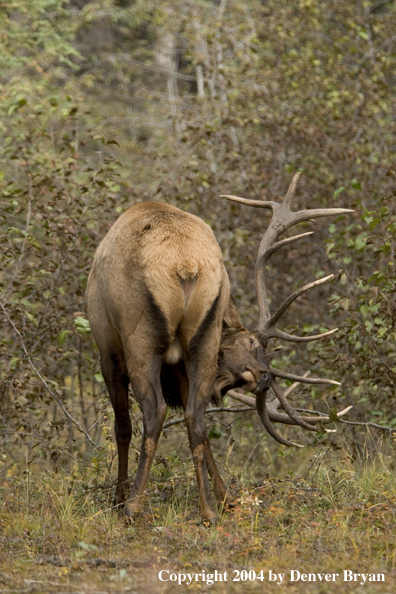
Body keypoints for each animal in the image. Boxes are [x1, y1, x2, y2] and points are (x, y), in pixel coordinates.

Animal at [86, 173, 352, 520]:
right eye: (251, 342)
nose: (264, 376)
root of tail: (185, 265)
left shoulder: (107, 348)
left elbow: (122, 427)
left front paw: (117, 498)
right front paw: (227, 497)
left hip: (138, 336)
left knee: (154, 412)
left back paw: (132, 506)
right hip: (203, 341)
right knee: (196, 417)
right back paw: (209, 510)